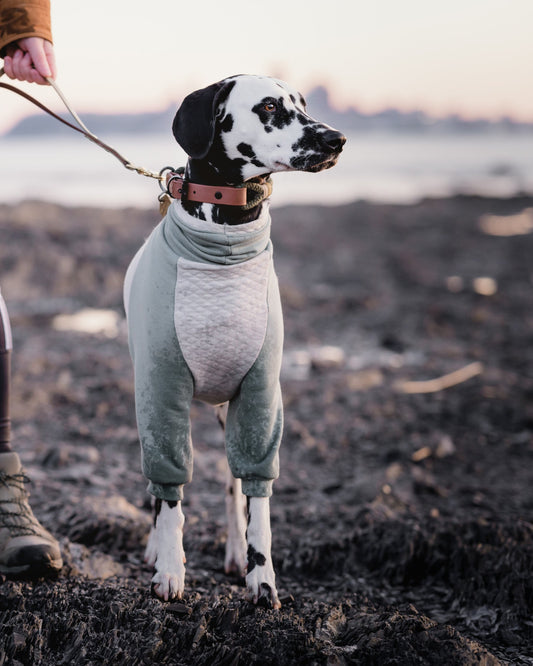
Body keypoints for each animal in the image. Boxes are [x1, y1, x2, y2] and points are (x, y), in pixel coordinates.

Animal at [123, 74, 344, 608]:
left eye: (303, 103)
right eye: (268, 107)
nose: (337, 139)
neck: (226, 242)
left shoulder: (260, 397)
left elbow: (256, 500)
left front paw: (261, 577)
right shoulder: (160, 394)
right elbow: (169, 496)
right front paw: (169, 569)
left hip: (229, 411)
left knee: (230, 485)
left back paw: (234, 551)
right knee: (158, 485)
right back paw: (155, 548)